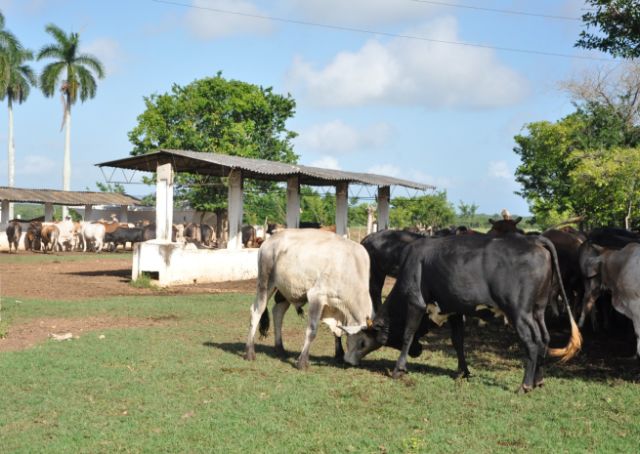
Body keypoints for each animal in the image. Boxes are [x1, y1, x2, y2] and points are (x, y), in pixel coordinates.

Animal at [244, 229, 374, 370]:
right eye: (362, 343)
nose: (353, 363)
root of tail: (268, 242)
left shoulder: (335, 308)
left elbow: (337, 331)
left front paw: (339, 355)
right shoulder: (316, 296)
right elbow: (312, 330)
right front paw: (302, 362)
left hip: (285, 289)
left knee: (278, 311)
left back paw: (280, 349)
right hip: (265, 283)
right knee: (256, 311)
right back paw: (249, 352)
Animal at [343, 234, 582, 393]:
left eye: (362, 341)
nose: (348, 361)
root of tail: (535, 240)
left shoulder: (416, 302)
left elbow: (407, 335)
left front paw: (398, 369)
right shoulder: (455, 309)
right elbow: (458, 340)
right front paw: (462, 372)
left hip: (519, 312)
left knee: (532, 342)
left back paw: (524, 385)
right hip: (538, 310)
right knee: (544, 339)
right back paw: (538, 381)